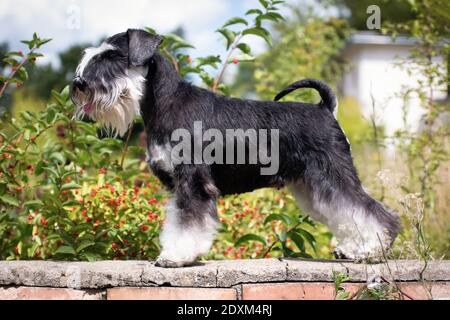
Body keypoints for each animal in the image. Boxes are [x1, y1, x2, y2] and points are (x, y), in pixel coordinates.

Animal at [71, 29, 400, 268]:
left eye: (114, 55)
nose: (79, 83)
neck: (165, 103)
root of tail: (325, 108)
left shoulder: (194, 182)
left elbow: (189, 223)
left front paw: (176, 257)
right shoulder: (179, 185)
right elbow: (177, 220)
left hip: (333, 174)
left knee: (372, 211)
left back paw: (371, 249)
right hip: (311, 186)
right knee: (345, 213)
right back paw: (353, 250)